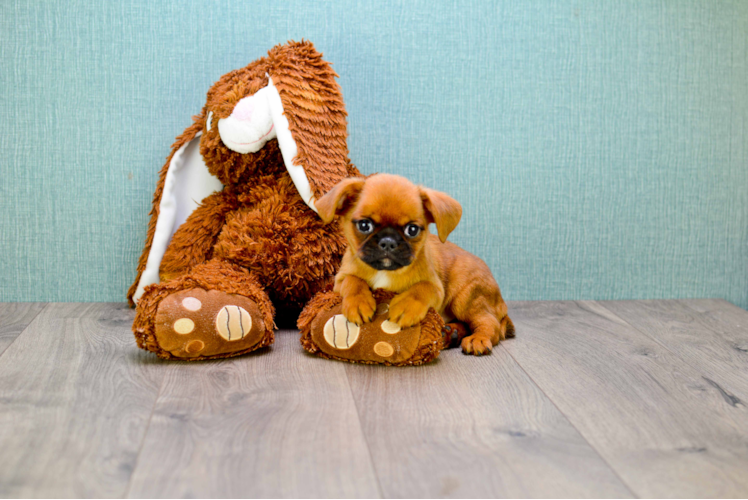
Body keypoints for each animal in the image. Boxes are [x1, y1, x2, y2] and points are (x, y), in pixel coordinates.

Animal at [316, 174, 516, 354]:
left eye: (412, 230)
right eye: (364, 225)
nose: (388, 242)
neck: (385, 271)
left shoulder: (436, 288)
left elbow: (421, 288)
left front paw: (406, 306)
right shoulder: (340, 280)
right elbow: (353, 281)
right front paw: (359, 302)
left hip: (465, 298)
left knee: (490, 324)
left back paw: (478, 339)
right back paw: (450, 333)